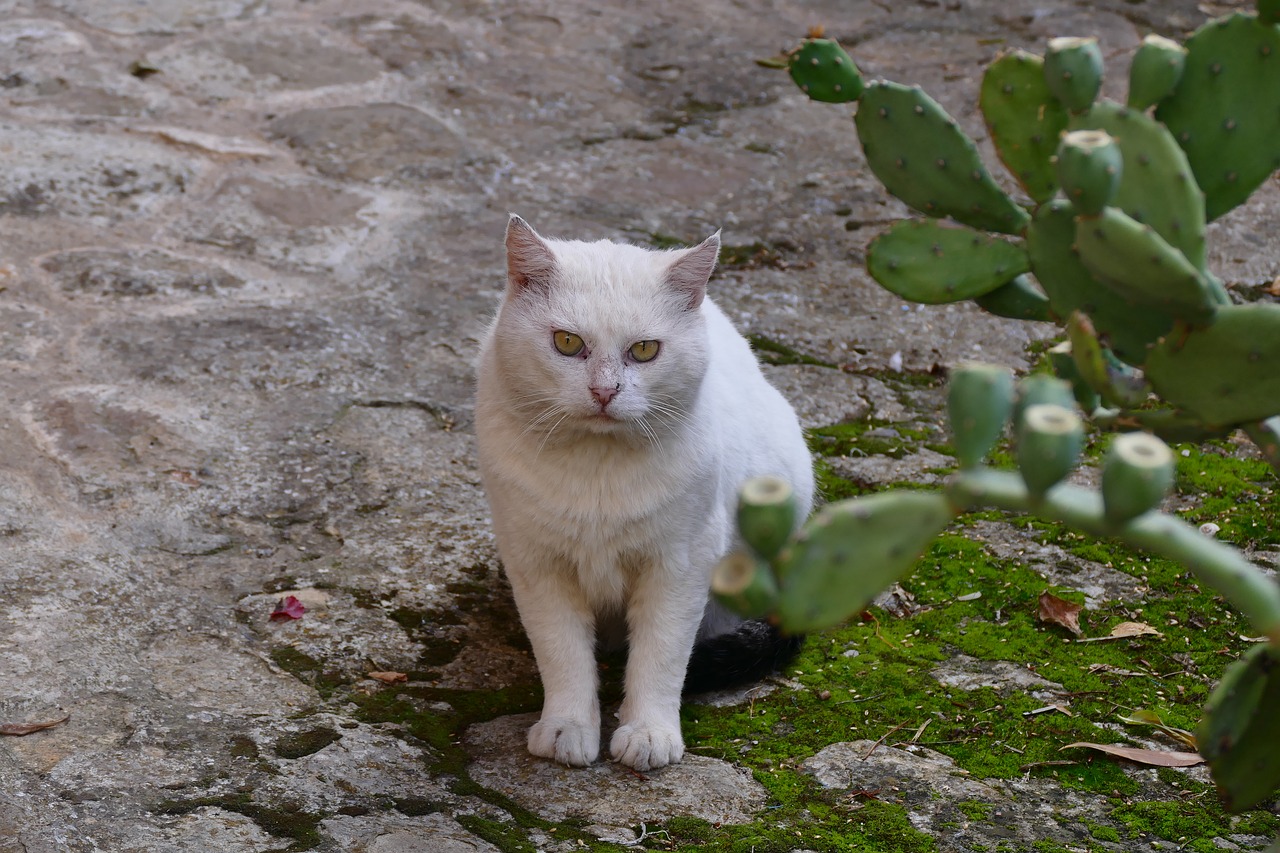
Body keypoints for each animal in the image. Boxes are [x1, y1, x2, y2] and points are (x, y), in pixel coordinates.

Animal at [476, 216, 814, 768]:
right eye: (566, 342)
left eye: (644, 350)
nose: (604, 391)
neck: (596, 468)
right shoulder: (536, 564)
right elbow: (562, 653)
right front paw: (568, 727)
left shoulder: (680, 565)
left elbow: (661, 655)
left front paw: (649, 733)